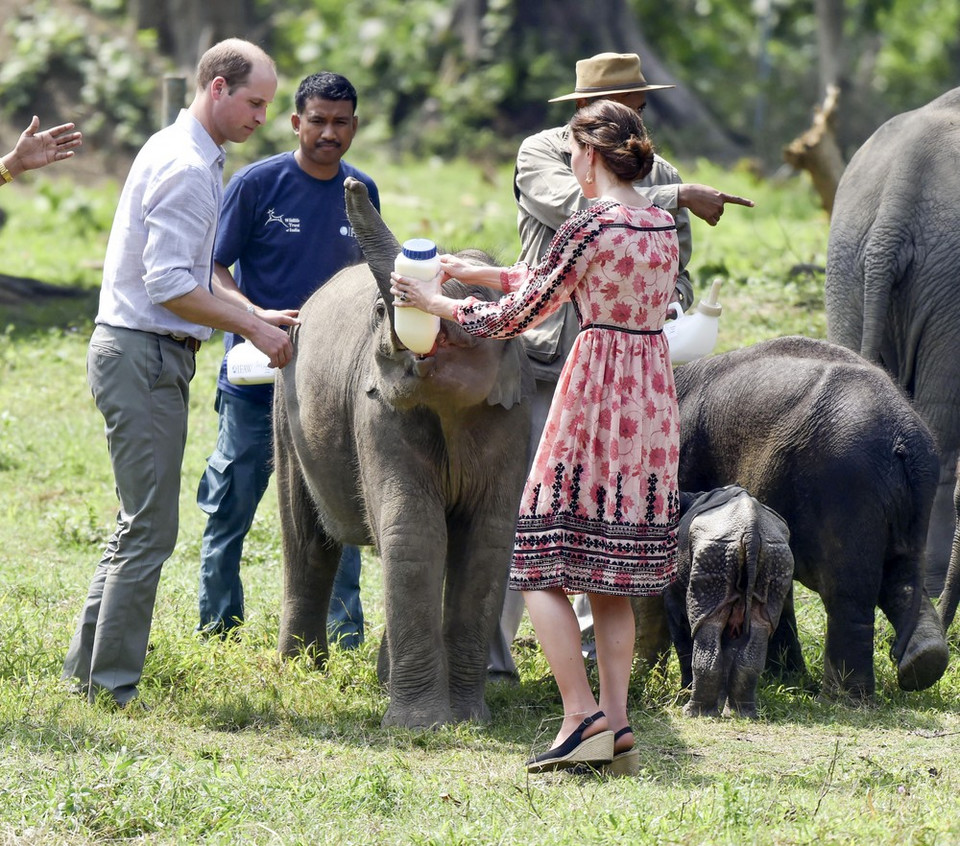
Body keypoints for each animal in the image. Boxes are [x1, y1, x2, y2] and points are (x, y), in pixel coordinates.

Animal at [274, 177, 532, 728]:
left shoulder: (511, 416)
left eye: (469, 309)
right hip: (285, 407)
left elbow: (487, 540)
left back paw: (379, 677)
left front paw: (468, 721)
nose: (352, 182)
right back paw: (301, 670)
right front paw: (425, 727)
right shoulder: (376, 409)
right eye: (379, 311)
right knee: (306, 538)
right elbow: (413, 529)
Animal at [668, 486, 796, 720]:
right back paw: (742, 714)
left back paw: (693, 712)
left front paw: (684, 691)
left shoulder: (673, 598)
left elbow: (681, 637)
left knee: (705, 625)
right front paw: (720, 700)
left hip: (716, 548)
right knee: (759, 626)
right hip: (775, 553)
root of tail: (752, 530)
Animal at [676, 338, 952, 704]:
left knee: (847, 593)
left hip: (846, 487)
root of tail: (904, 438)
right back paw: (923, 662)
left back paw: (841, 700)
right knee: (900, 577)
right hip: (906, 498)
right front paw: (786, 681)